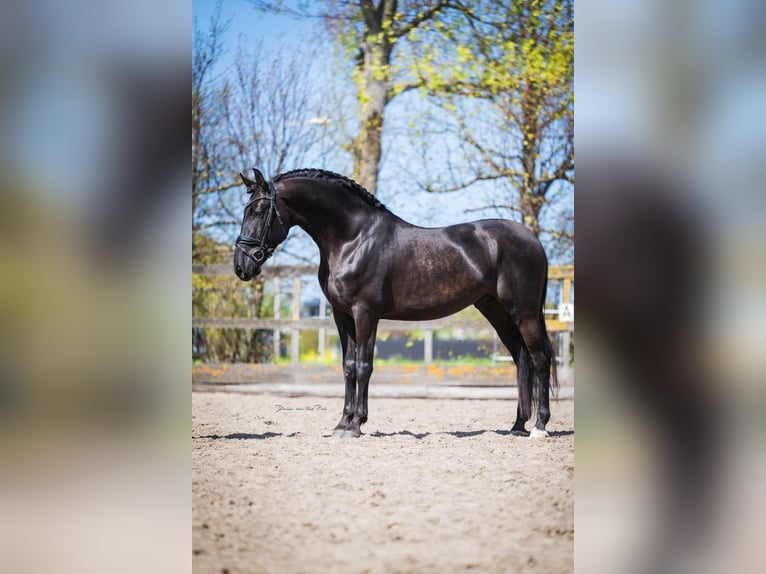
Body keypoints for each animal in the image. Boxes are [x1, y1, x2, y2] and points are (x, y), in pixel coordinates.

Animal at [234, 168, 558, 438]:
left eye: (260, 211)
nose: (241, 266)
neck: (353, 238)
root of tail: (533, 240)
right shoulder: (342, 315)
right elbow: (348, 366)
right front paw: (342, 424)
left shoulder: (365, 312)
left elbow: (364, 365)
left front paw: (356, 425)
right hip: (496, 310)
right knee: (521, 359)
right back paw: (517, 425)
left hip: (524, 311)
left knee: (540, 358)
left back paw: (539, 427)